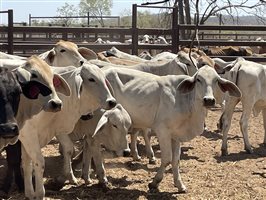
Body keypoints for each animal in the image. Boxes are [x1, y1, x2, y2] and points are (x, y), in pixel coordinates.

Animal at [101, 65, 241, 192]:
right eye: (198, 79)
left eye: (216, 80)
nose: (209, 100)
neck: (185, 102)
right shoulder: (163, 131)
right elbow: (167, 158)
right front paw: (154, 182)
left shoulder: (176, 135)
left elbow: (176, 160)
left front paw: (179, 184)